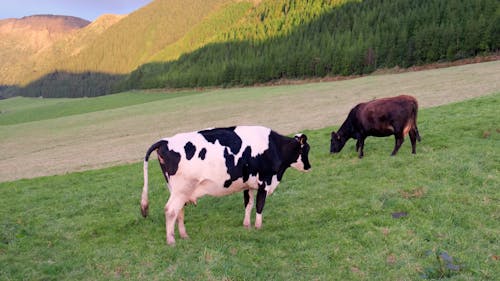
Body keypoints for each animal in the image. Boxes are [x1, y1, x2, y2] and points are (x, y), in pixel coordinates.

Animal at [141, 124, 310, 243]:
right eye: (306, 150)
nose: (309, 166)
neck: (274, 147)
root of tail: (166, 140)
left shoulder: (248, 184)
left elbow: (248, 204)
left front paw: (247, 225)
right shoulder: (264, 181)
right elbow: (259, 205)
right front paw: (258, 227)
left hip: (178, 191)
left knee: (179, 211)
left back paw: (184, 235)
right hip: (182, 189)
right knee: (170, 211)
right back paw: (171, 240)